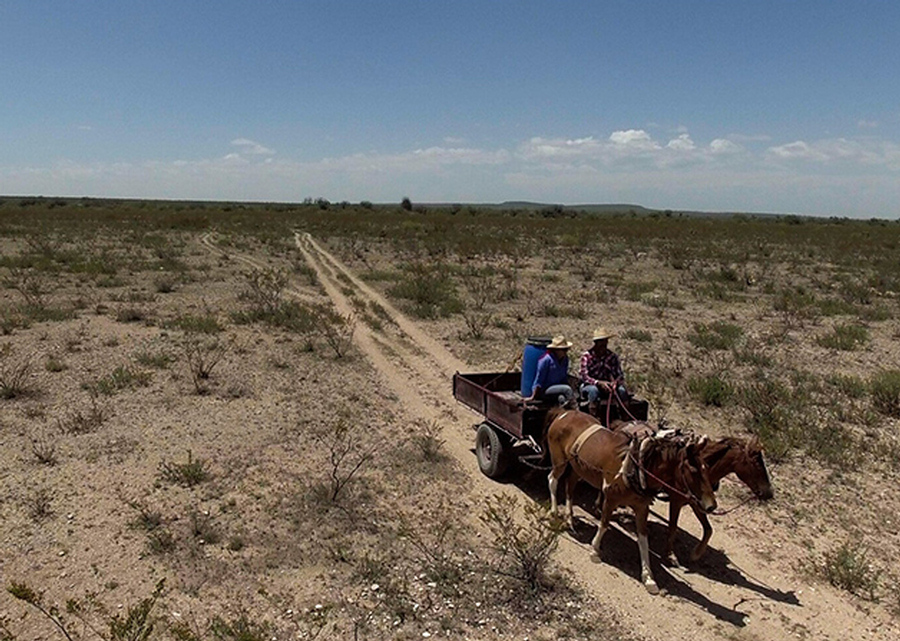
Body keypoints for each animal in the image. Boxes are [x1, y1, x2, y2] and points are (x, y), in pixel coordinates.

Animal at [540, 408, 716, 592]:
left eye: (706, 468)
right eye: (693, 470)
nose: (711, 505)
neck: (639, 466)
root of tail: (563, 412)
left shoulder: (641, 507)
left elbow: (643, 539)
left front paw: (648, 577)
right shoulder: (610, 498)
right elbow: (604, 524)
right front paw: (595, 550)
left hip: (577, 467)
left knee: (569, 487)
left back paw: (570, 519)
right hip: (559, 460)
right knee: (552, 480)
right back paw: (554, 514)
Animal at [660, 436, 772, 564]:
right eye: (757, 464)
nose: (769, 493)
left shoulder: (699, 504)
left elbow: (709, 529)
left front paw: (695, 554)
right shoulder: (676, 501)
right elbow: (673, 527)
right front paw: (670, 555)